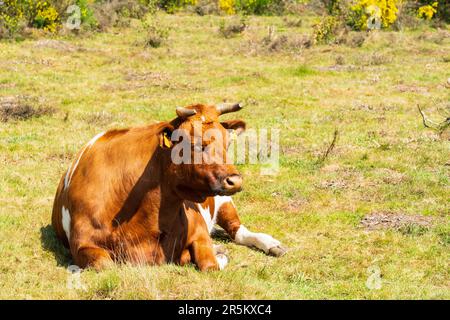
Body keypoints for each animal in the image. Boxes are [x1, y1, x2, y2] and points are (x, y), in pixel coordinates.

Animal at [52, 104, 284, 272]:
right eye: (193, 144)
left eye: (227, 143)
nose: (235, 180)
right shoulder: (82, 244)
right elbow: (105, 265)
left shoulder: (198, 228)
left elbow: (209, 264)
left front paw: (218, 254)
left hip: (225, 202)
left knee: (238, 231)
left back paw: (270, 243)